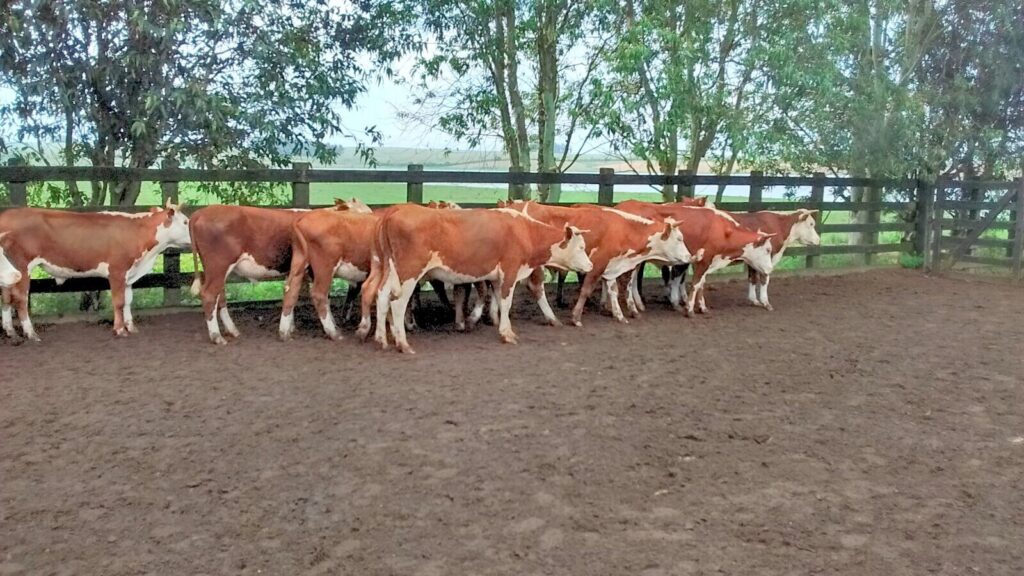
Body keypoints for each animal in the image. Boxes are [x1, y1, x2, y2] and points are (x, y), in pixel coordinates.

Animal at [0, 199, 191, 338]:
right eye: (185, 221)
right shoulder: (117, 271)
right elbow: (119, 302)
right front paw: (120, 330)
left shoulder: (129, 274)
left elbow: (128, 301)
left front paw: (131, 327)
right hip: (22, 268)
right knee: (20, 300)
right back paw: (31, 333)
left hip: (11, 272)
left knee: (6, 297)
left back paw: (10, 331)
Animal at [368, 203, 593, 352]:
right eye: (581, 247)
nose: (590, 266)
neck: (525, 232)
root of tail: (397, 209)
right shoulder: (510, 271)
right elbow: (506, 302)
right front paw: (507, 334)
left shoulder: (496, 277)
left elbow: (498, 301)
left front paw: (498, 326)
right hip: (409, 272)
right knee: (397, 303)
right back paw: (403, 344)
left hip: (388, 269)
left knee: (381, 297)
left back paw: (381, 340)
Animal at [493, 201, 692, 325]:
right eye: (679, 239)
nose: (689, 257)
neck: (623, 229)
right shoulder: (597, 263)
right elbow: (586, 289)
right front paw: (576, 317)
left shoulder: (612, 266)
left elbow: (613, 290)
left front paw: (619, 315)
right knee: (536, 287)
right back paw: (551, 318)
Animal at [614, 199, 774, 315]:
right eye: (767, 250)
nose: (770, 269)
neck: (723, 230)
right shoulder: (704, 260)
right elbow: (695, 284)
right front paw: (689, 309)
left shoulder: (705, 262)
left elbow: (700, 283)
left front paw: (701, 307)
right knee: (627, 280)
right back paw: (631, 308)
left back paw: (637, 305)